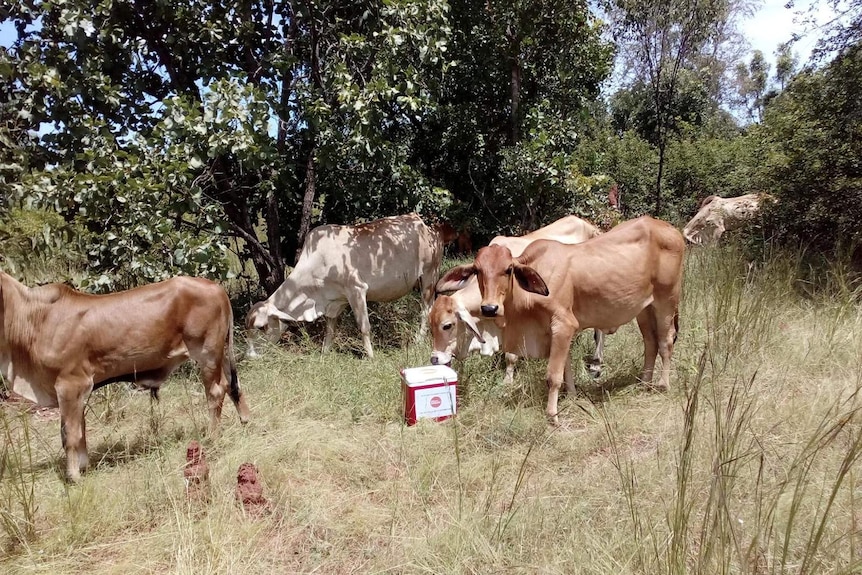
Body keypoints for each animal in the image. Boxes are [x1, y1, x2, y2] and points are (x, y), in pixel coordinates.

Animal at [0, 272, 251, 484]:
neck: (34, 319)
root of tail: (216, 288)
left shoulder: (69, 384)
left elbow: (69, 434)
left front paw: (73, 477)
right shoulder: (78, 390)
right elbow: (80, 430)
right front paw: (84, 466)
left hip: (207, 352)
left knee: (216, 391)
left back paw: (212, 437)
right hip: (220, 353)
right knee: (233, 386)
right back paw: (245, 421)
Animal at [243, 214, 446, 358]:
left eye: (261, 327)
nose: (251, 356)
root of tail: (426, 225)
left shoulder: (356, 290)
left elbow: (364, 327)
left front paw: (371, 357)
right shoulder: (334, 301)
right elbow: (330, 329)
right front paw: (324, 353)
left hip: (429, 275)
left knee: (425, 310)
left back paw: (418, 340)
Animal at [432, 216, 608, 388]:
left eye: (447, 325)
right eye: (430, 327)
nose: (434, 359)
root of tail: (589, 226)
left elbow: (511, 355)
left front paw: (507, 380)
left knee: (599, 329)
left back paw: (596, 364)